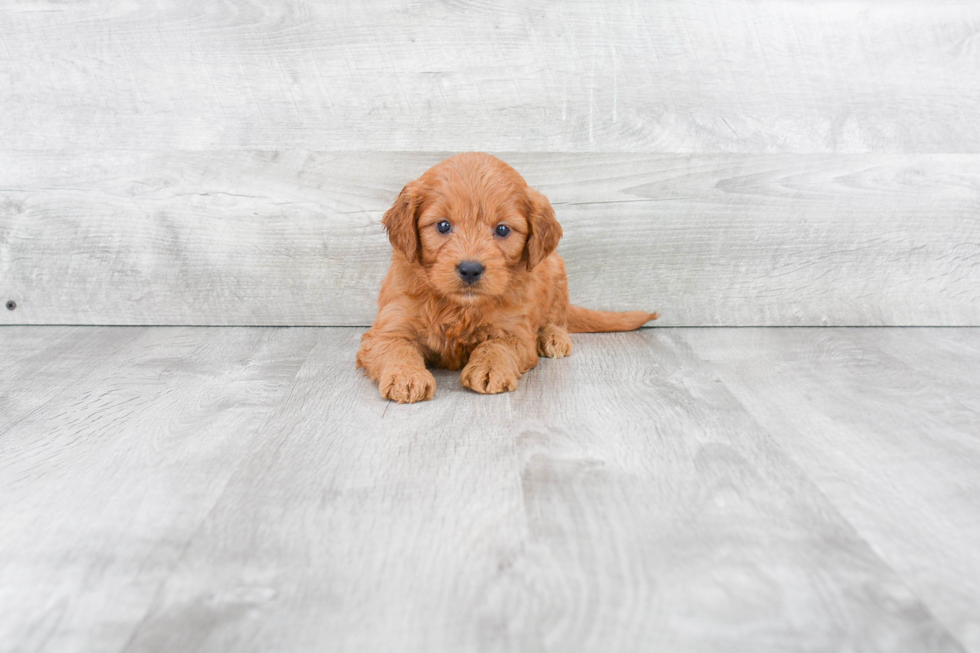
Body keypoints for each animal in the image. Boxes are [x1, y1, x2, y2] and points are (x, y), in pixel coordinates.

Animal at [354, 153, 660, 402]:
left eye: (502, 230)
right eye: (442, 225)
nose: (470, 269)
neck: (458, 308)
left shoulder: (514, 331)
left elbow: (496, 346)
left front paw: (490, 368)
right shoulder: (389, 327)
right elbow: (397, 348)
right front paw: (407, 376)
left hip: (555, 269)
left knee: (557, 318)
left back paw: (553, 337)